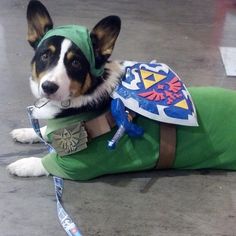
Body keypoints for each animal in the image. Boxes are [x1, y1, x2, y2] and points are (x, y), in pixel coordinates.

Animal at [6, 0, 236, 181]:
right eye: (45, 55)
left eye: (76, 63)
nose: (48, 87)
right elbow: (45, 131)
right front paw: (25, 132)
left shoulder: (79, 165)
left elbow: (45, 162)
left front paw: (23, 164)